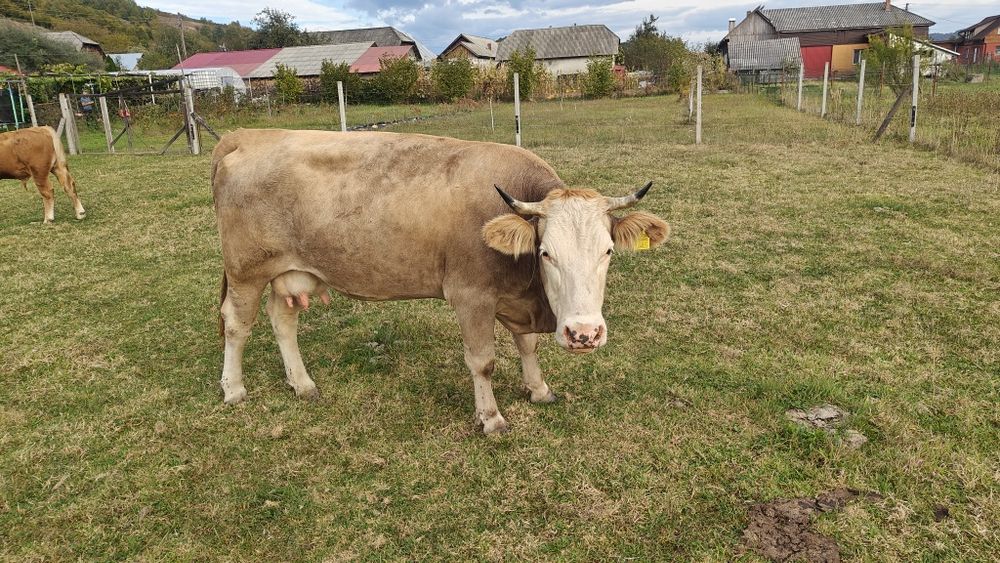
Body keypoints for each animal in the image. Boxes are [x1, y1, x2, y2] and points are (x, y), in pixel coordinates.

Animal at [212, 129, 670, 433]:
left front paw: (538, 389)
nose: (583, 334)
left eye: (607, 251)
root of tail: (246, 136)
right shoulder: (471, 296)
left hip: (290, 273)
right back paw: (233, 389)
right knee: (236, 325)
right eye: (545, 253)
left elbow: (527, 345)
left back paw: (302, 383)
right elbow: (483, 361)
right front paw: (491, 418)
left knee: (282, 321)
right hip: (245, 271)